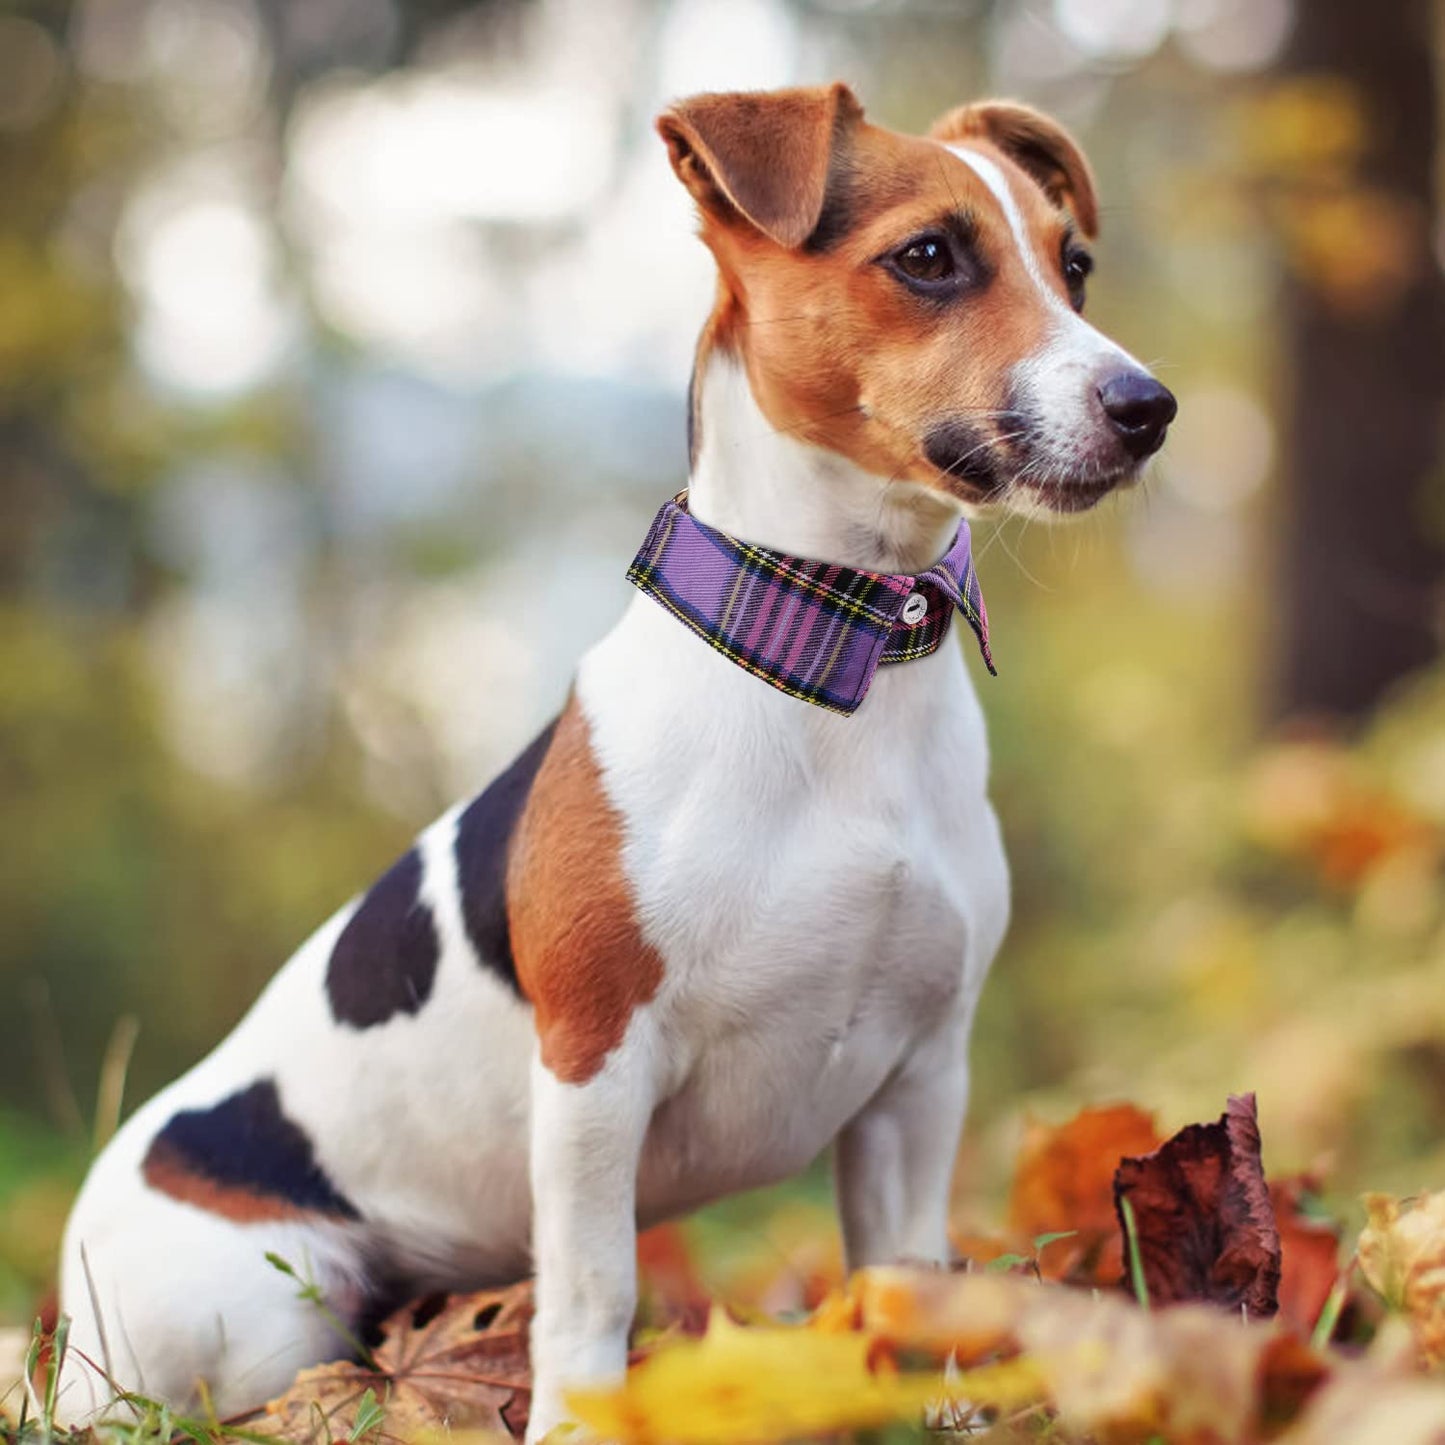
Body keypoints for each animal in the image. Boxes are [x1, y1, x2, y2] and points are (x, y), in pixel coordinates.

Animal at [59, 84, 1173, 1439]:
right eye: (926, 257)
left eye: (1074, 266)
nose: (1148, 406)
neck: (837, 659)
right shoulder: (595, 1066)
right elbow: (592, 1291)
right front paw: (579, 1421)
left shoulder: (918, 1079)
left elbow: (908, 1274)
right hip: (256, 1314)